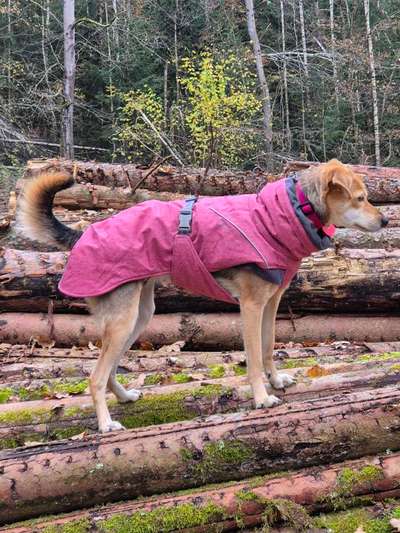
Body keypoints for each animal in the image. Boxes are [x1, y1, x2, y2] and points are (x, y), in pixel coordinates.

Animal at [18, 158, 388, 432]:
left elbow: (269, 347)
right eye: (360, 198)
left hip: (139, 316)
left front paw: (276, 380)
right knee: (94, 377)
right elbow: (254, 358)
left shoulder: (271, 303)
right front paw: (261, 397)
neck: (287, 213)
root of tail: (83, 235)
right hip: (124, 320)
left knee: (108, 371)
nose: (385, 220)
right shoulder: (251, 306)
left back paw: (123, 397)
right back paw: (106, 424)